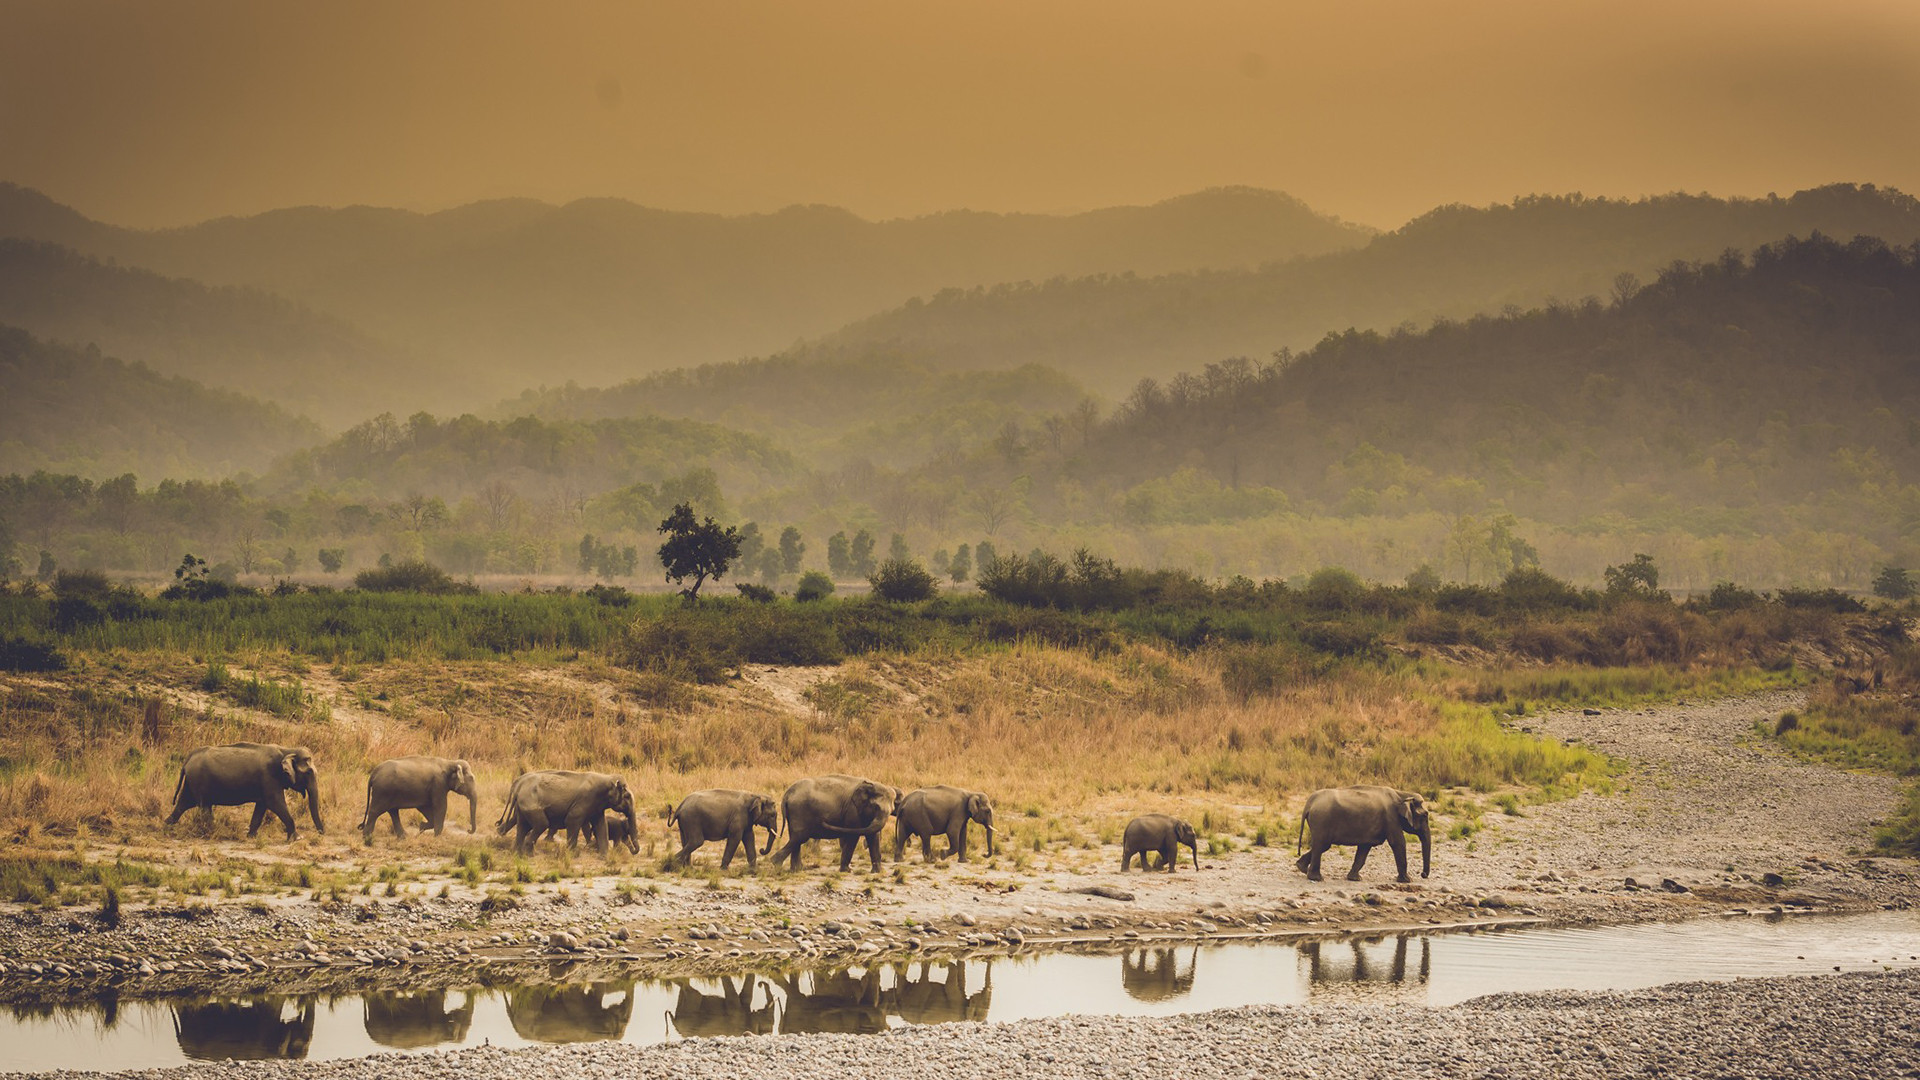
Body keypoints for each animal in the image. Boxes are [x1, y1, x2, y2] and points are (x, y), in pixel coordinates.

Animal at [165, 743, 323, 840]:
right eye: (309, 772)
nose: (321, 833)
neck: (287, 750)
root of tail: (188, 758)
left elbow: (262, 806)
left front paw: (252, 836)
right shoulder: (269, 777)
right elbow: (275, 803)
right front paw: (297, 838)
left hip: (192, 782)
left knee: (183, 803)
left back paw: (166, 825)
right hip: (199, 780)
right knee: (203, 806)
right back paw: (213, 831)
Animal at [494, 770, 636, 856]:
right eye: (627, 796)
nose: (634, 851)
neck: (606, 777)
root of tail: (518, 785)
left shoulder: (597, 807)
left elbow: (601, 825)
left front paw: (604, 856)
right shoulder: (584, 800)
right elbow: (572, 820)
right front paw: (572, 854)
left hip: (523, 807)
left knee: (522, 827)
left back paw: (517, 852)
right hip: (531, 805)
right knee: (541, 824)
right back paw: (529, 854)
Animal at [1294, 785, 1432, 883]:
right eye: (1425, 815)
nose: (1423, 874)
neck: (1402, 794)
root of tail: (1310, 802)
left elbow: (1364, 848)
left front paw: (1355, 879)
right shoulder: (1391, 818)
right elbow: (1398, 843)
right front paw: (1408, 881)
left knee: (1321, 846)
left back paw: (1302, 868)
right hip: (1321, 820)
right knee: (1322, 845)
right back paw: (1317, 878)